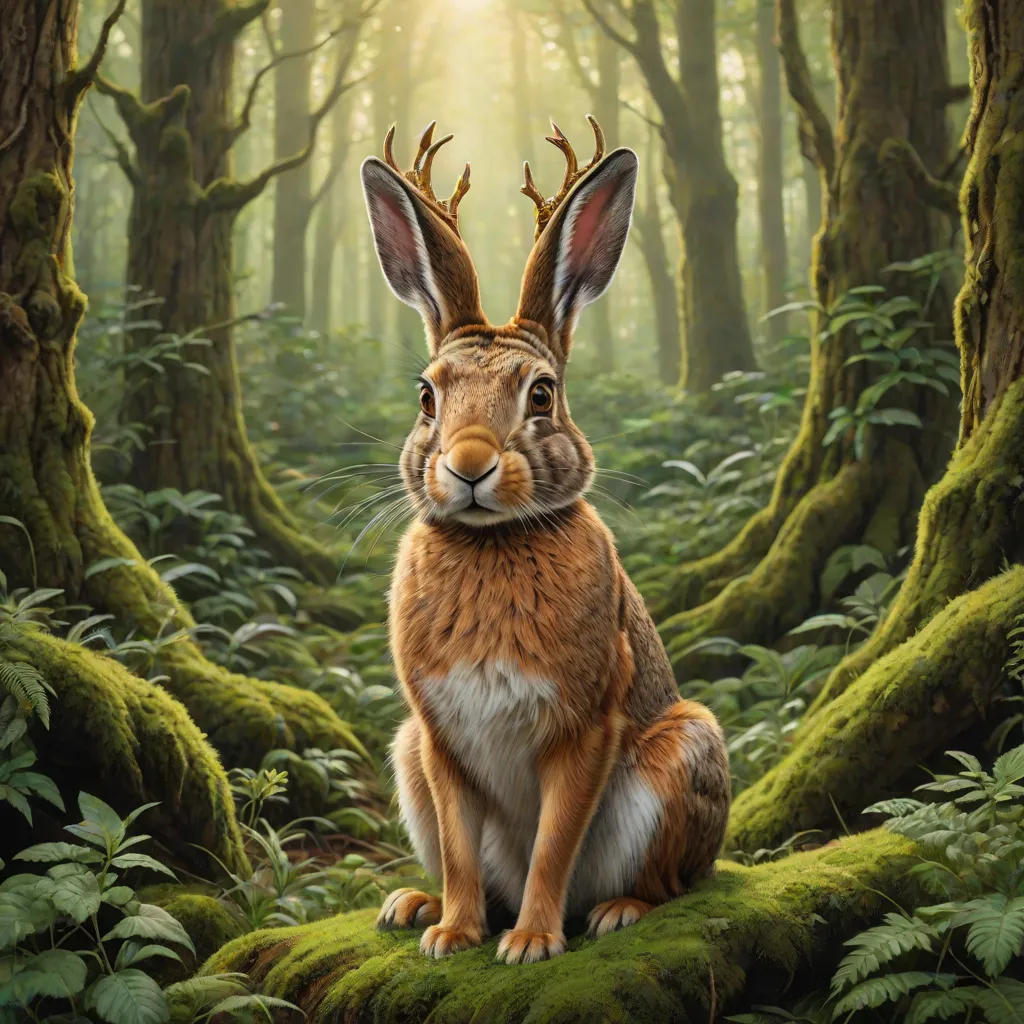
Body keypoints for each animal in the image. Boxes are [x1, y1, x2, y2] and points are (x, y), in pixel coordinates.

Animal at [361, 118, 730, 964]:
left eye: (542, 394)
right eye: (426, 396)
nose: (468, 466)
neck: (491, 541)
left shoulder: (584, 725)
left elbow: (556, 841)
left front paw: (530, 942)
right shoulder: (438, 737)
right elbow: (462, 843)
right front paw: (453, 935)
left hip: (684, 753)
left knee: (670, 880)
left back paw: (617, 911)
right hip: (404, 752)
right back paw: (414, 904)